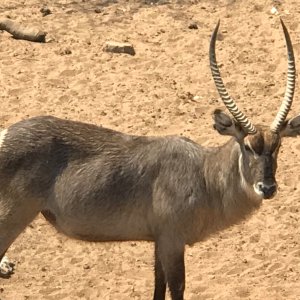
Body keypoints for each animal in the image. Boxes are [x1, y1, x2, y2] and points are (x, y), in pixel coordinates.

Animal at [0, 19, 300, 300]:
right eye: (248, 146)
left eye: (277, 146)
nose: (267, 188)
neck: (204, 174)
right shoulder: (172, 241)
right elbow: (177, 288)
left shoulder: (159, 242)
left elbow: (158, 285)